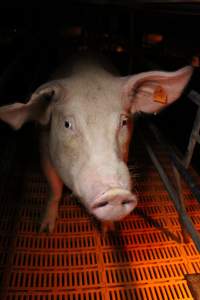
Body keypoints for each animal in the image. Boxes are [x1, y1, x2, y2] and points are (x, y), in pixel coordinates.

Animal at [0, 54, 194, 232]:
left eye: (124, 122)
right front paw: (45, 230)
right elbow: (55, 188)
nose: (115, 193)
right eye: (67, 124)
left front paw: (108, 232)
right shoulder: (44, 149)